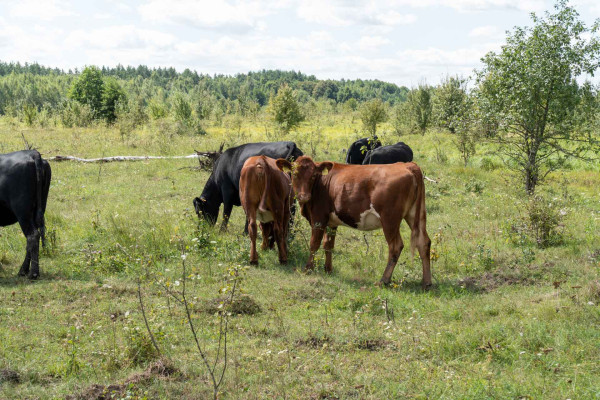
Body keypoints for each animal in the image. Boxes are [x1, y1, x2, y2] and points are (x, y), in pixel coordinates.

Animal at [0, 149, 51, 278]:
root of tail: (32, 153)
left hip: (22, 211)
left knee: (32, 236)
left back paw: (33, 273)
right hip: (38, 208)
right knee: (33, 237)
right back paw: (24, 270)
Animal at [276, 155, 432, 288]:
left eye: (313, 175)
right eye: (295, 174)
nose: (304, 196)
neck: (321, 185)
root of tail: (407, 165)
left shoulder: (319, 218)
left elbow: (314, 243)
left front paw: (308, 269)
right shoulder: (331, 222)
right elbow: (328, 245)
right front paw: (328, 269)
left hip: (390, 219)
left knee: (396, 246)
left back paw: (384, 280)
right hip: (415, 215)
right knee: (423, 242)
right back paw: (426, 283)